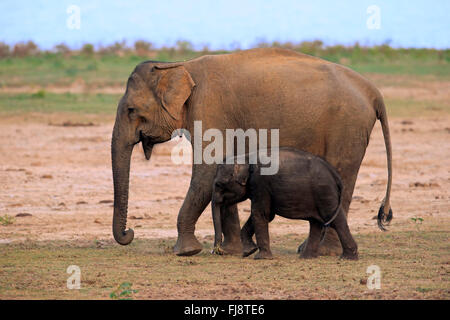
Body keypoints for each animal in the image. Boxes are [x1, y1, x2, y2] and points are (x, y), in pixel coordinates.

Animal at [211, 148, 358, 260]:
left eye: (219, 184)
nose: (217, 251)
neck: (247, 157)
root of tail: (335, 175)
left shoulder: (260, 183)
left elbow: (260, 213)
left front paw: (260, 257)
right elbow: (267, 215)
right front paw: (249, 251)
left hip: (325, 193)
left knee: (336, 221)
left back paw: (347, 258)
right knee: (316, 223)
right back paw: (306, 258)